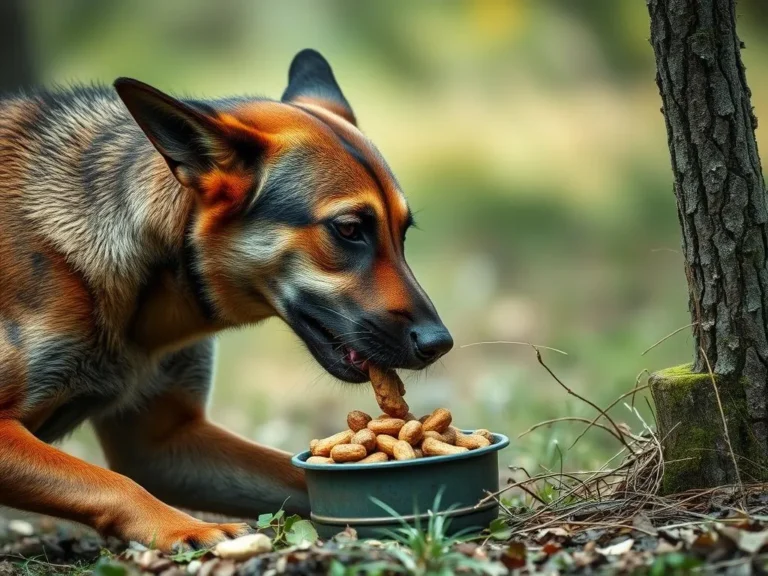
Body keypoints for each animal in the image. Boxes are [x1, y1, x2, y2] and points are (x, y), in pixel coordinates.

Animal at [0, 48, 452, 548]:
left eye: (403, 233)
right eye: (349, 229)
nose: (439, 343)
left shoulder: (162, 446)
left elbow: (292, 474)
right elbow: (113, 483)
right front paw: (191, 528)